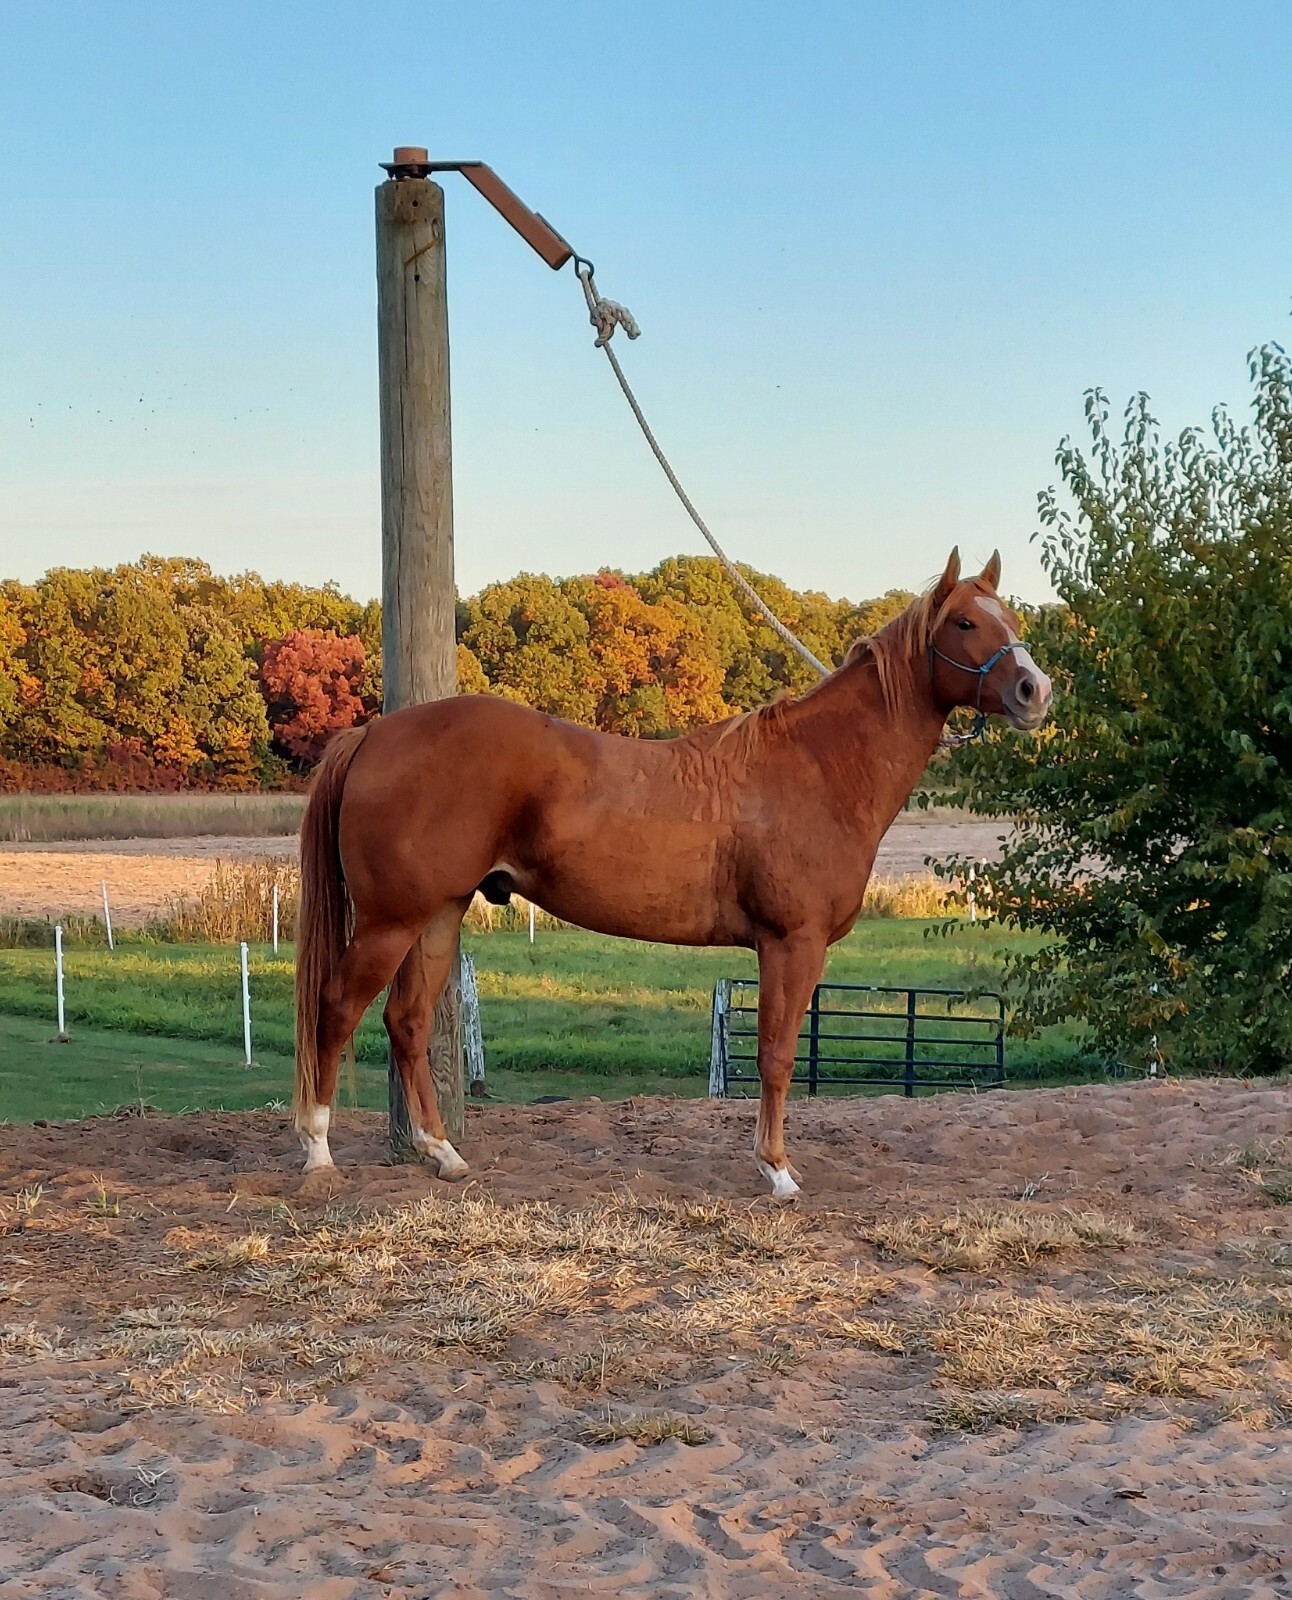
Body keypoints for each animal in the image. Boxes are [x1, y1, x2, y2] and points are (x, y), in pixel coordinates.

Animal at [292, 548, 1052, 1195]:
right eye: (964, 622)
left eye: (1012, 622)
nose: (1033, 690)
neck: (818, 768)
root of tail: (375, 733)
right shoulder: (791, 944)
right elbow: (775, 1056)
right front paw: (777, 1171)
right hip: (390, 922)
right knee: (336, 1011)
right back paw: (319, 1153)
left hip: (438, 915)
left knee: (407, 1022)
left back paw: (442, 1153)